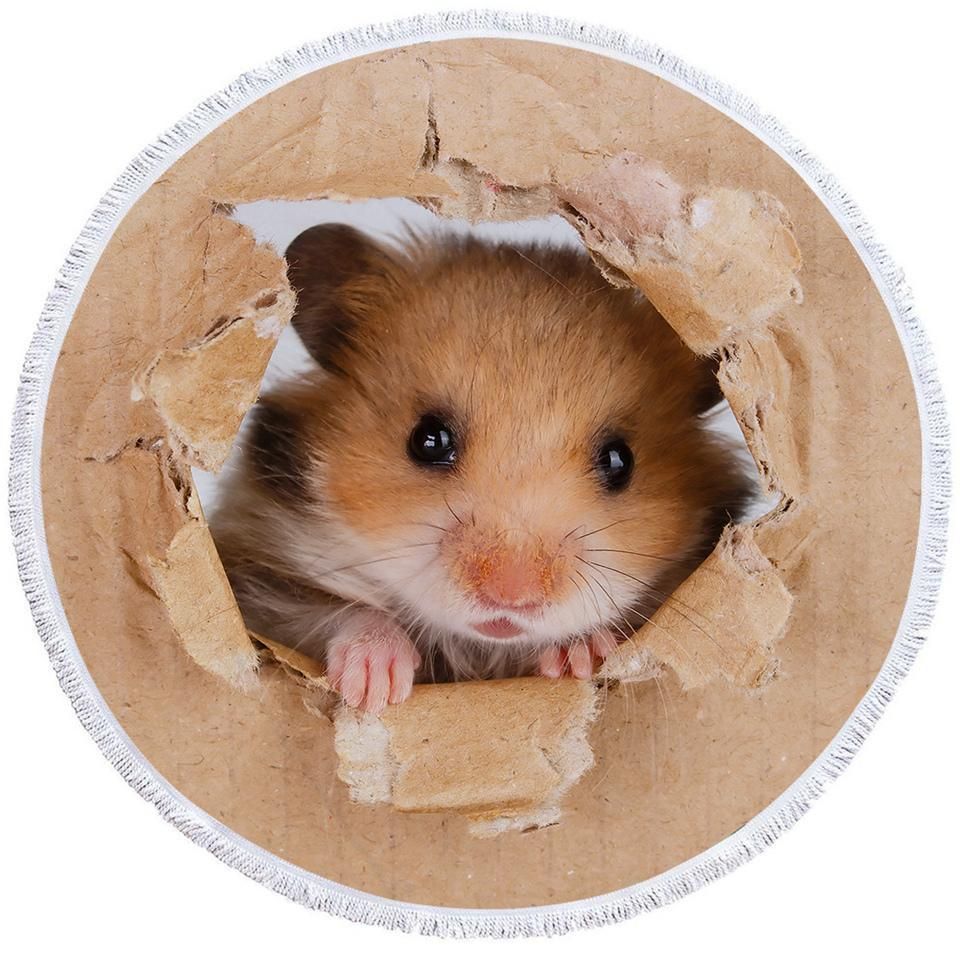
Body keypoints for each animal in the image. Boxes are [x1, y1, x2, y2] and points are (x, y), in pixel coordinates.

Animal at [209, 223, 754, 713]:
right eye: (428, 439)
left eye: (621, 461)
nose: (511, 600)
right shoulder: (258, 581)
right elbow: (342, 612)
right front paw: (376, 686)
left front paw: (578, 655)